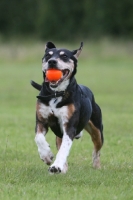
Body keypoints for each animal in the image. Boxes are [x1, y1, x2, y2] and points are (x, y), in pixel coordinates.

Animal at [30, 41, 104, 173]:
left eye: (64, 56)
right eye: (48, 56)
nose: (52, 62)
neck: (56, 93)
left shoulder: (69, 125)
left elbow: (64, 149)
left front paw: (56, 166)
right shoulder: (41, 120)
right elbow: (38, 138)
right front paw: (46, 155)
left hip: (97, 129)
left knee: (97, 149)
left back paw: (96, 166)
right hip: (59, 134)